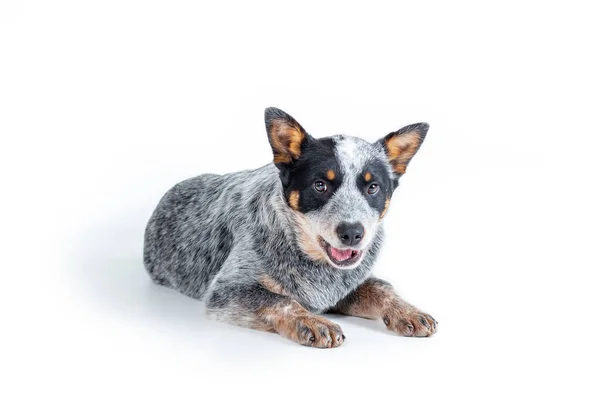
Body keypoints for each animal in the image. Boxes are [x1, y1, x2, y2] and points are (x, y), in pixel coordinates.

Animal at [144, 108, 436, 348]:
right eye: (320, 185)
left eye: (372, 187)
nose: (353, 233)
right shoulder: (226, 291)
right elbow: (280, 299)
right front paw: (312, 322)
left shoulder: (341, 288)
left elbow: (380, 287)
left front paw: (407, 310)